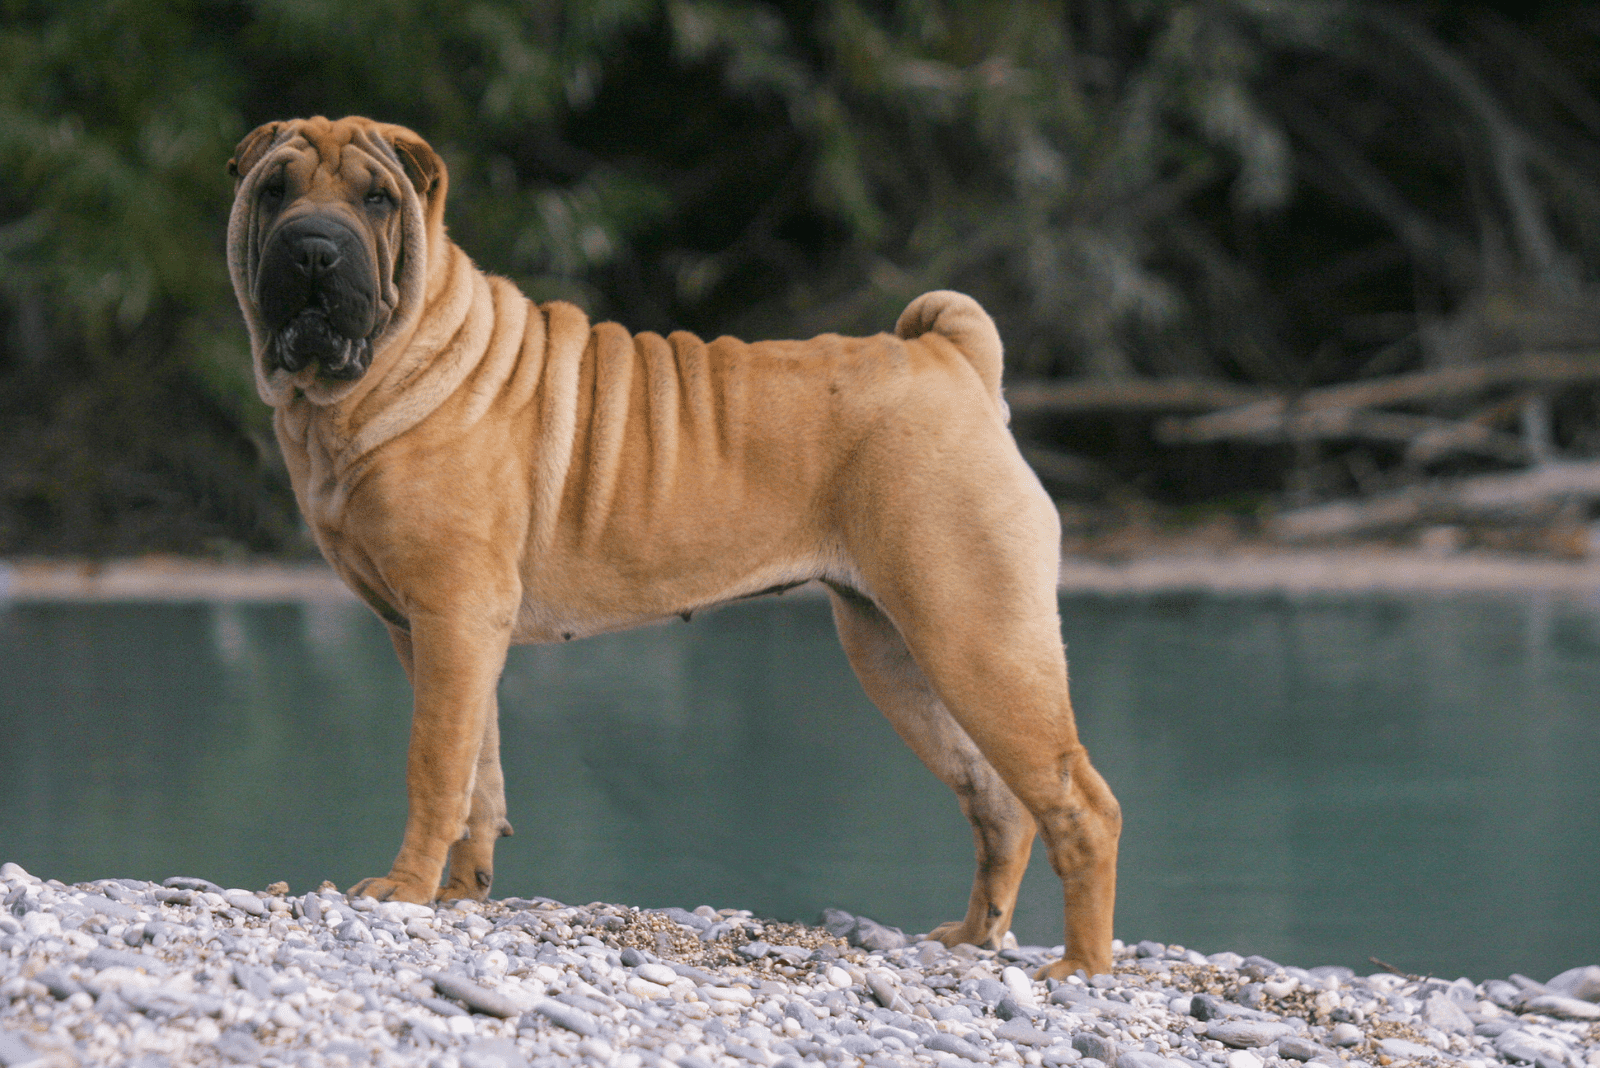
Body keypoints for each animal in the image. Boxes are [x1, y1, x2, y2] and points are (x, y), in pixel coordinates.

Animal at [225, 115, 1126, 978]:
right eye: (274, 191)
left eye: (377, 200)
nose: (313, 245)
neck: (377, 374)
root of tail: (950, 356)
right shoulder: (436, 634)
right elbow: (479, 773)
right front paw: (460, 894)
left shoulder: (451, 615)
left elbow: (434, 765)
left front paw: (405, 889)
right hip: (898, 654)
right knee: (997, 801)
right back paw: (974, 937)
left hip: (976, 639)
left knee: (1081, 805)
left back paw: (1080, 965)